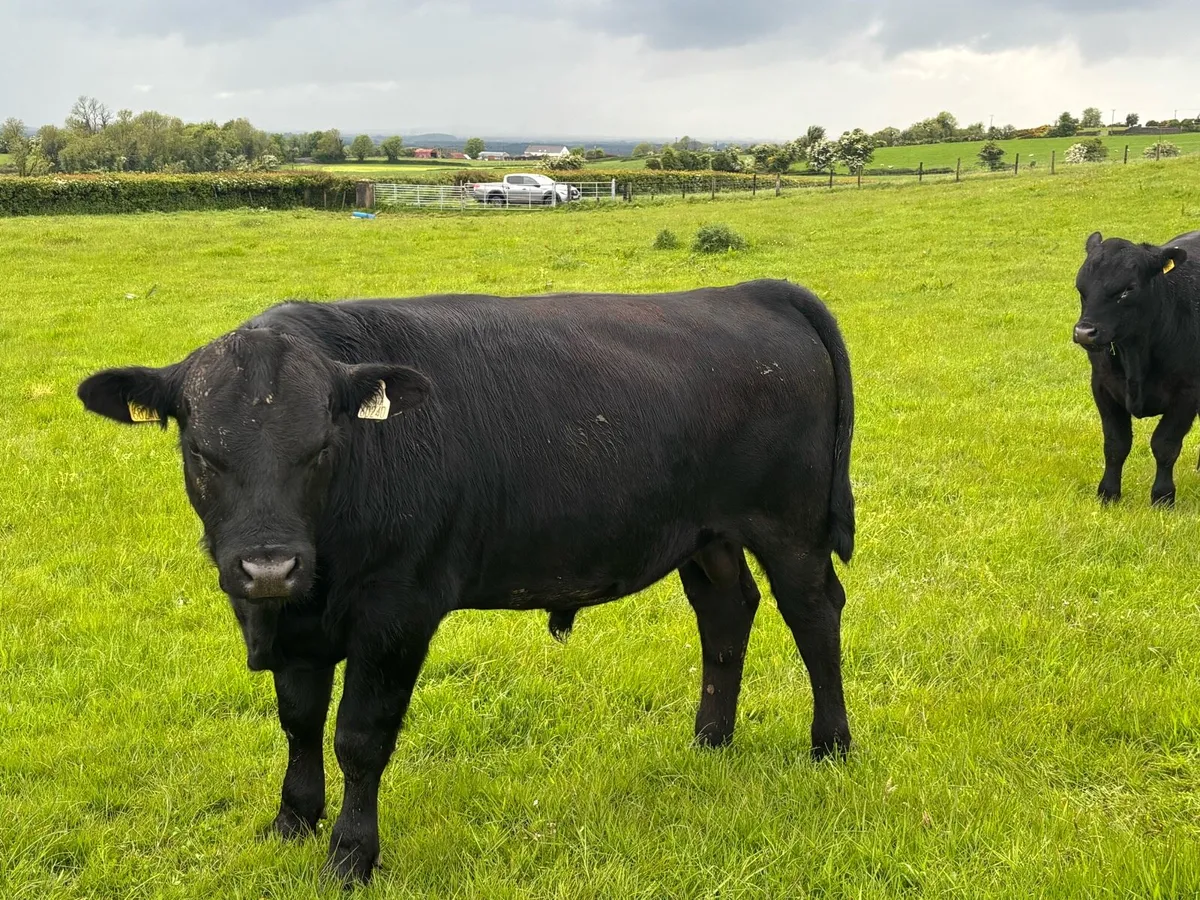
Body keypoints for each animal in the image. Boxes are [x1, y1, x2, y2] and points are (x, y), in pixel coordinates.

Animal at [77, 279, 856, 885]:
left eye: (321, 448)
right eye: (201, 451)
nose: (269, 564)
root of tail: (753, 291)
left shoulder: (397, 613)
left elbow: (359, 737)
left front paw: (350, 857)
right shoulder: (297, 625)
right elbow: (298, 721)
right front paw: (292, 820)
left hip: (791, 528)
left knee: (815, 616)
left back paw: (831, 747)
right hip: (708, 534)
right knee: (726, 611)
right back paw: (709, 741)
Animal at [1073, 231, 1200, 505]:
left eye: (1128, 289)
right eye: (1081, 287)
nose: (1084, 332)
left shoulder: (1187, 392)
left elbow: (1165, 445)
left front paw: (1162, 498)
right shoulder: (1102, 386)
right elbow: (1115, 444)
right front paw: (1108, 494)